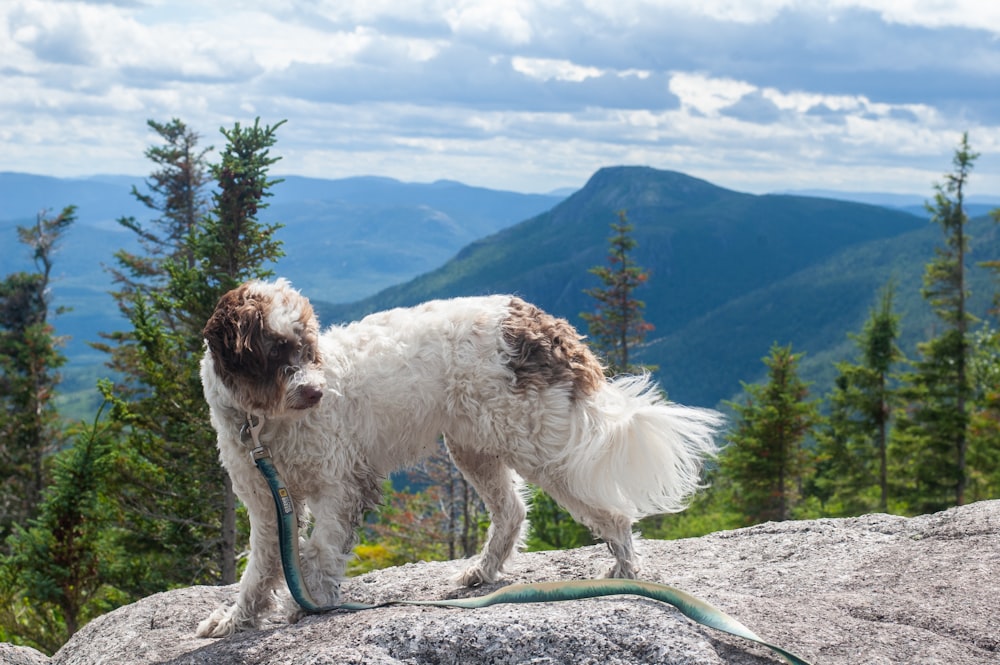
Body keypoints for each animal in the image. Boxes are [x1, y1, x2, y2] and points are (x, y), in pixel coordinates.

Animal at [193, 278, 720, 636]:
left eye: (307, 347)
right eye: (273, 351)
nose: (317, 392)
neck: (265, 421)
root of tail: (544, 324)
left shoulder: (339, 485)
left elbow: (319, 553)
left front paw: (311, 605)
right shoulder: (267, 504)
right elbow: (261, 569)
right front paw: (235, 619)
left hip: (544, 448)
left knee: (614, 514)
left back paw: (626, 572)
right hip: (476, 446)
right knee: (513, 511)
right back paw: (482, 572)